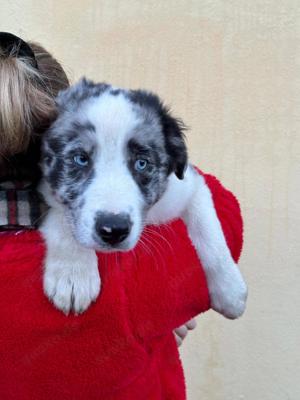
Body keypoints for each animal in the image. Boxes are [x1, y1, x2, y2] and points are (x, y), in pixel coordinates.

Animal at [38, 79, 247, 320]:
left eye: (141, 163)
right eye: (80, 159)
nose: (113, 230)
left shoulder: (190, 188)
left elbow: (209, 230)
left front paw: (230, 289)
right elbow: (62, 218)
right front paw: (73, 275)